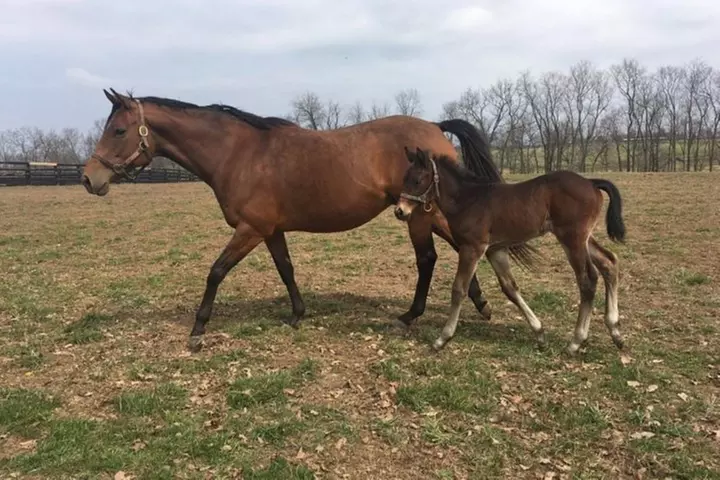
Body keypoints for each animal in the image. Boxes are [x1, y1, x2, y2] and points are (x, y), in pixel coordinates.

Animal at [81, 88, 539, 352]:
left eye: (118, 130)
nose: (89, 178)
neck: (238, 153)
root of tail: (433, 126)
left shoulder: (249, 230)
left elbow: (216, 271)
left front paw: (198, 329)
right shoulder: (270, 231)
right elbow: (286, 269)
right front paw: (298, 313)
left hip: (417, 216)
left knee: (428, 259)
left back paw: (412, 315)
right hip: (428, 212)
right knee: (459, 247)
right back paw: (480, 305)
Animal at [394, 147, 626, 356]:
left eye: (417, 180)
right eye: (404, 178)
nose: (400, 211)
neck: (468, 199)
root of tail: (591, 182)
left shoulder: (472, 248)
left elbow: (459, 289)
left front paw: (442, 339)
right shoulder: (495, 250)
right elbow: (510, 288)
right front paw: (540, 334)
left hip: (572, 239)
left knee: (588, 280)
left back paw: (576, 342)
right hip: (584, 239)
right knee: (609, 262)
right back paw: (615, 332)